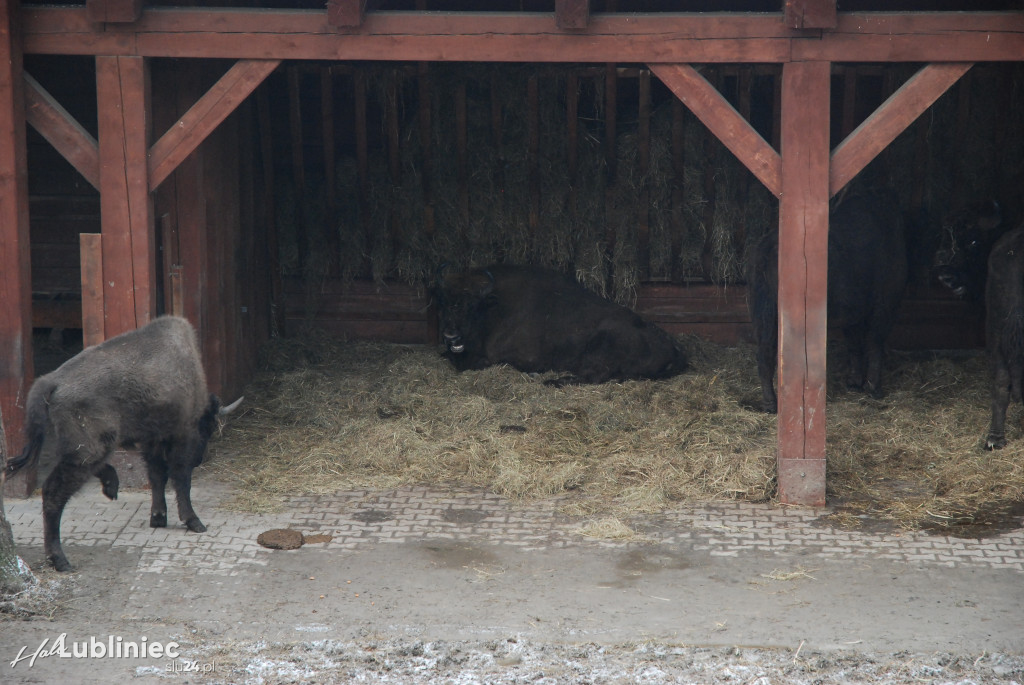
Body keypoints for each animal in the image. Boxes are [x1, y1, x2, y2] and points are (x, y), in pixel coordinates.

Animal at [6, 317, 241, 573]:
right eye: (208, 427)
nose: (199, 459)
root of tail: (52, 381)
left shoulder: (152, 440)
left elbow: (157, 476)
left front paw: (158, 517)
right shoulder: (181, 435)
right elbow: (181, 479)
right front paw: (193, 522)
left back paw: (110, 486)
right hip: (87, 452)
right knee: (53, 493)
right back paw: (61, 560)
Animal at [434, 264, 688, 384]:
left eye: (472, 305)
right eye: (444, 302)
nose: (451, 336)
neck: (495, 307)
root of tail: (674, 348)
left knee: (594, 377)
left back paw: (553, 381)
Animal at [749, 192, 909, 411]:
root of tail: (767, 247)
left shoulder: (854, 313)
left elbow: (855, 343)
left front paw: (855, 382)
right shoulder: (884, 305)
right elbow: (874, 342)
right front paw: (873, 387)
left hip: (765, 312)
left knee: (765, 352)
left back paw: (770, 403)